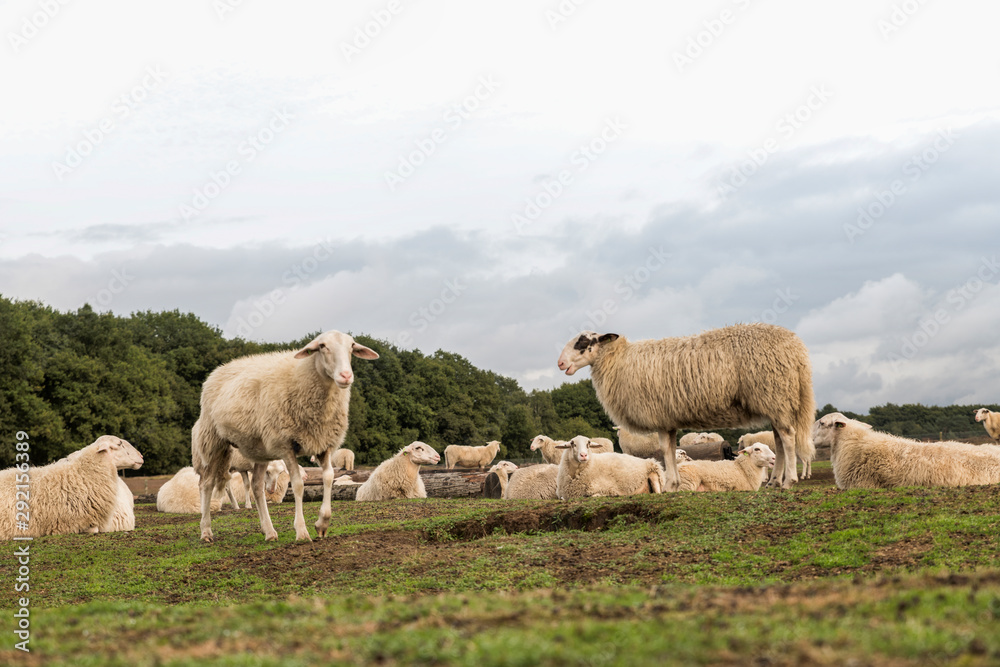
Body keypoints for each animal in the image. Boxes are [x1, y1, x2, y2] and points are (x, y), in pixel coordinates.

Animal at [193, 329, 380, 542]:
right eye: (322, 346)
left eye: (352, 346)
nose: (346, 375)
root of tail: (217, 370)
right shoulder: (286, 445)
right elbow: (297, 484)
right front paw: (302, 531)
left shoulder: (324, 443)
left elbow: (329, 478)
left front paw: (322, 524)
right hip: (212, 440)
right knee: (206, 484)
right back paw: (206, 531)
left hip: (260, 449)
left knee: (257, 486)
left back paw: (269, 532)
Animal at [557, 324, 815, 491]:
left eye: (583, 341)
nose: (560, 363)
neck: (619, 361)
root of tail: (796, 347)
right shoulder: (667, 418)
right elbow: (671, 450)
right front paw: (675, 483)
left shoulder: (659, 415)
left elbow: (664, 450)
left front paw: (670, 485)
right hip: (776, 401)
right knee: (779, 440)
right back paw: (774, 481)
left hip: (774, 393)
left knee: (788, 438)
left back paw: (789, 481)